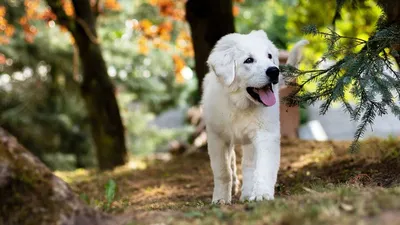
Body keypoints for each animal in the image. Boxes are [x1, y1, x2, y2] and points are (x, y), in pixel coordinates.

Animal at [202, 29, 308, 204]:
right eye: (249, 60)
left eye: (269, 56)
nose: (274, 71)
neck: (240, 105)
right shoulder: (216, 137)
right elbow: (223, 171)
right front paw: (220, 199)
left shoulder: (265, 134)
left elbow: (262, 167)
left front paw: (261, 194)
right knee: (233, 161)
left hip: (250, 141)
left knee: (249, 165)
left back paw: (247, 194)